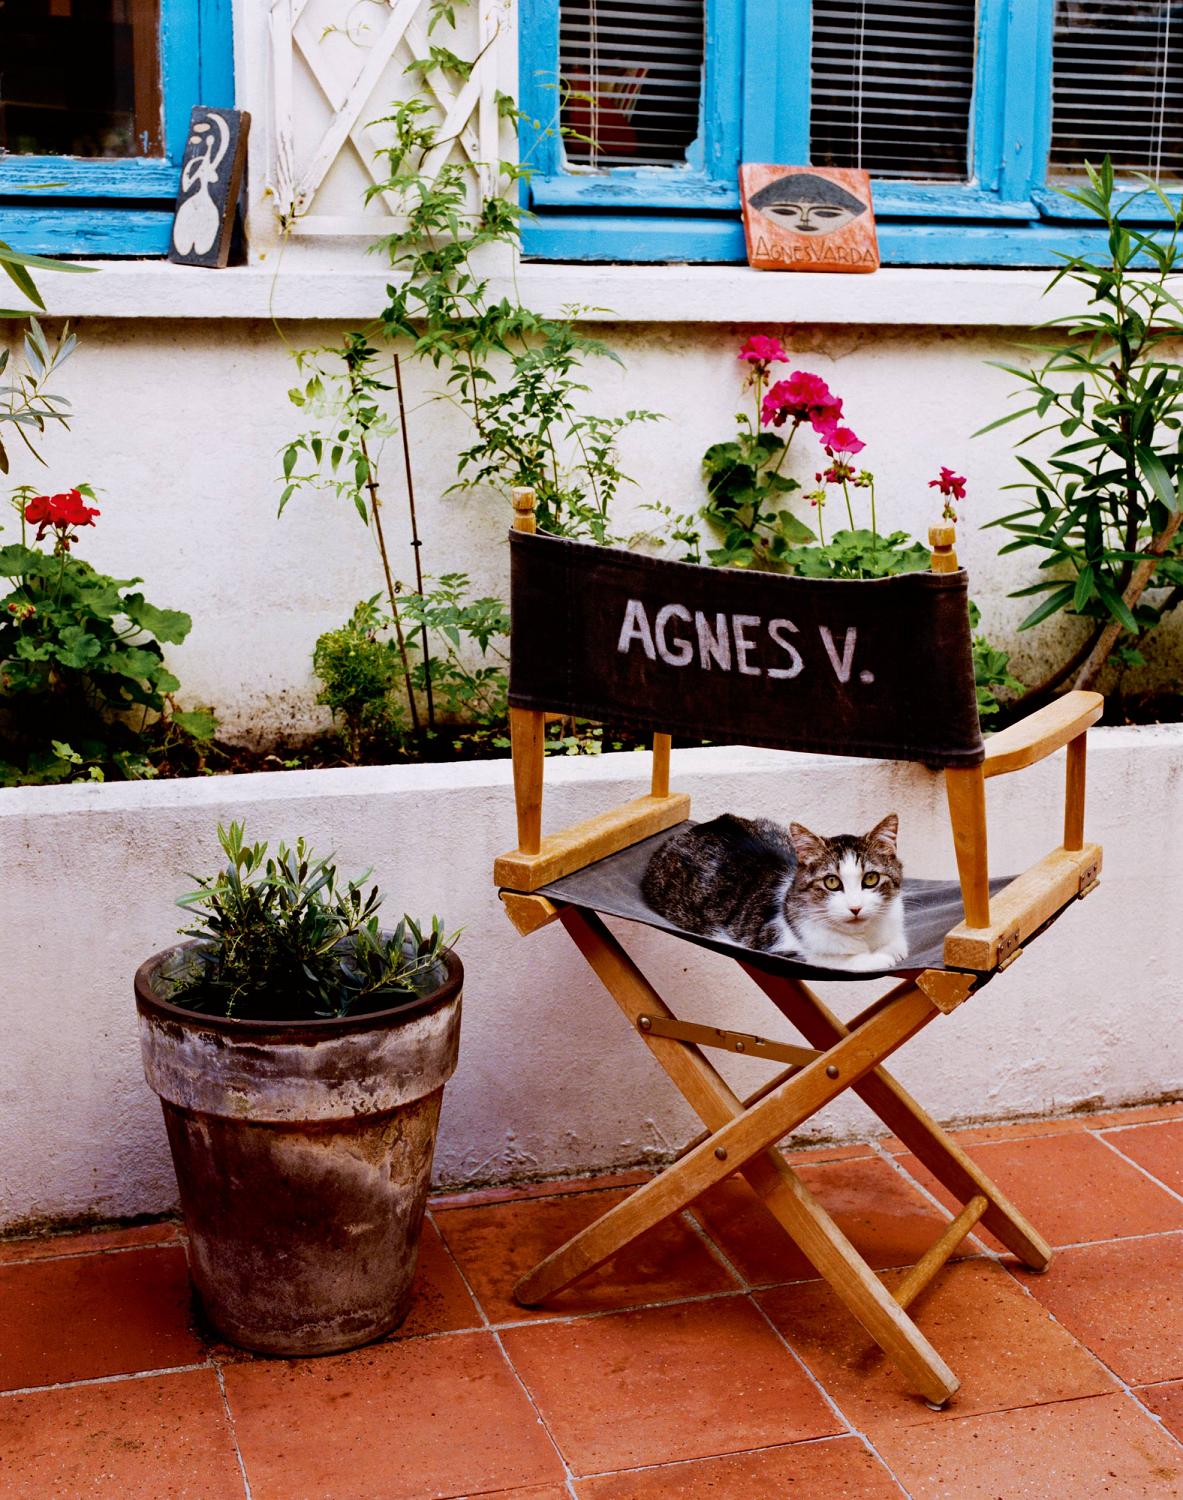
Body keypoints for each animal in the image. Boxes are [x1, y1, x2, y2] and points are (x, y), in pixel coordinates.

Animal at [635, 810, 905, 972]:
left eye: (870, 878)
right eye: (831, 882)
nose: (856, 907)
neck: (863, 937)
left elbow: (898, 944)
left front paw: (892, 952)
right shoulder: (778, 947)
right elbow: (832, 959)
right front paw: (877, 959)